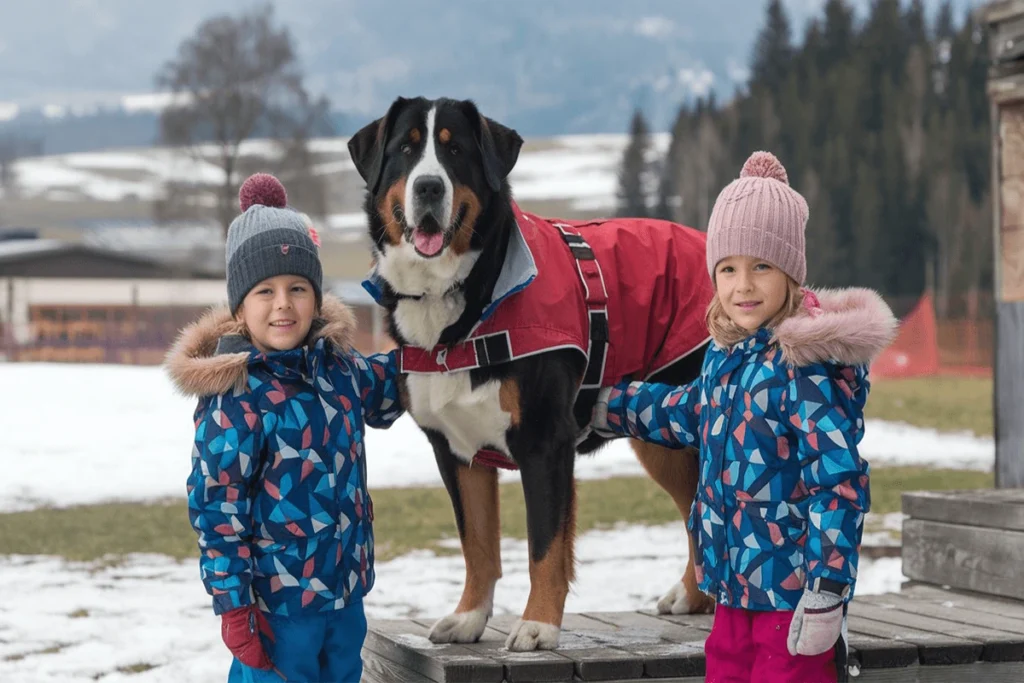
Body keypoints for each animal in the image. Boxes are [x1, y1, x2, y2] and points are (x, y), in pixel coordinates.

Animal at [348, 96, 716, 651]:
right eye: (406, 149)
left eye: (455, 150)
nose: (429, 186)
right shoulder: (455, 450)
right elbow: (477, 544)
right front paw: (469, 617)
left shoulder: (544, 441)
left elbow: (545, 546)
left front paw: (538, 625)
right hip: (660, 436)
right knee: (695, 511)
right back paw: (694, 596)